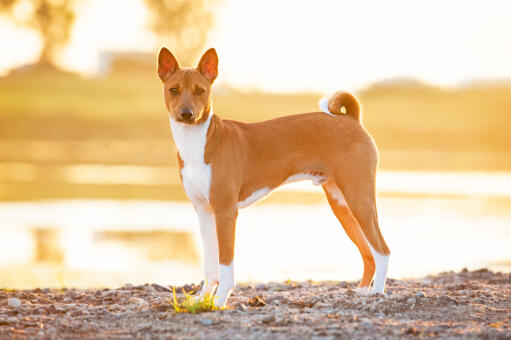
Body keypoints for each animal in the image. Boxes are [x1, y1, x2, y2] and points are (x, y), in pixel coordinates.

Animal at [158, 47, 390, 308]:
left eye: (200, 91)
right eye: (174, 90)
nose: (186, 114)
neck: (197, 143)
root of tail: (351, 119)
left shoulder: (226, 212)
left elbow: (225, 265)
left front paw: (219, 301)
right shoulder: (204, 211)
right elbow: (210, 266)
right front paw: (202, 299)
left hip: (359, 199)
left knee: (382, 250)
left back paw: (378, 292)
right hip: (341, 204)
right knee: (368, 252)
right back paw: (362, 290)